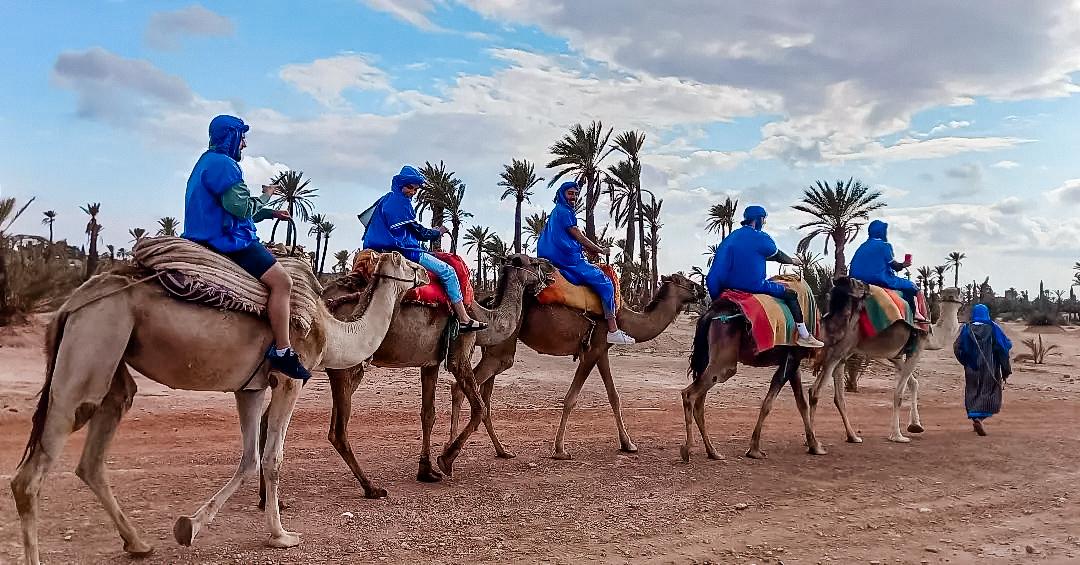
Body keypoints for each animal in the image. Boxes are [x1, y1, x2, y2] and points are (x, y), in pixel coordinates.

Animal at [10, 252, 426, 565]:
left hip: (111, 364)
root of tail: (71, 303)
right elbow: (272, 458)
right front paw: (281, 535)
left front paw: (189, 527)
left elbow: (249, 458)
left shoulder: (251, 388)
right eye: (408, 261)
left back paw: (139, 544)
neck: (332, 330)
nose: (425, 271)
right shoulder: (291, 379)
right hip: (94, 343)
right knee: (31, 474)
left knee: (93, 457)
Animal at [299, 254, 552, 499]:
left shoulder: (430, 362)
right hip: (344, 362)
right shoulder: (459, 353)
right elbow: (479, 407)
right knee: (338, 430)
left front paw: (426, 471)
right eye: (535, 262)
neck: (485, 319)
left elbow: (428, 414)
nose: (551, 272)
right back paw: (371, 488)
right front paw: (446, 459)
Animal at [450, 273, 705, 460]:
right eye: (685, 281)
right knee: (461, 387)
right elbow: (571, 398)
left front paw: (628, 444)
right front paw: (560, 450)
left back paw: (501, 450)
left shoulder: (602, 351)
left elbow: (614, 396)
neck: (624, 319)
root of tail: (489, 302)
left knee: (483, 395)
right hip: (502, 351)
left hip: (495, 349)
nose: (702, 290)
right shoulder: (591, 352)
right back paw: (452, 449)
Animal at [680, 297, 824, 462]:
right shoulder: (792, 359)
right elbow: (768, 403)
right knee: (690, 394)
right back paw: (688, 448)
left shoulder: (793, 362)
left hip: (707, 358)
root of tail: (708, 315)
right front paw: (754, 450)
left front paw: (814, 445)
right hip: (724, 362)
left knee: (699, 403)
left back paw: (713, 452)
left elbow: (801, 404)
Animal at [808, 280, 962, 444]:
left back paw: (852, 437)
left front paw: (915, 425)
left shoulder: (896, 357)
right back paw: (814, 443)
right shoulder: (917, 348)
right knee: (817, 391)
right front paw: (897, 436)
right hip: (839, 348)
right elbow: (899, 394)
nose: (952, 295)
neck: (932, 336)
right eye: (957, 293)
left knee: (834, 395)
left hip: (841, 350)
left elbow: (913, 383)